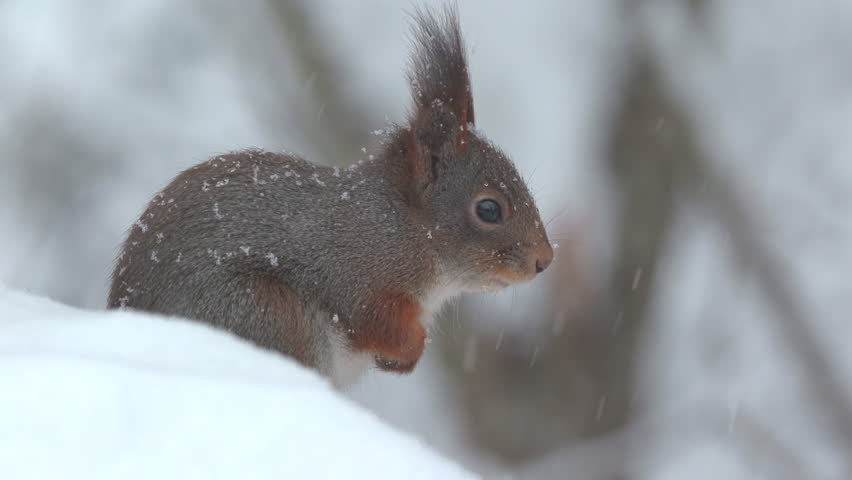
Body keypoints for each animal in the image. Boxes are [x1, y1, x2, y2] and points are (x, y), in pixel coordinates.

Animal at [107, 5, 553, 388]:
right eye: (489, 209)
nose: (544, 261)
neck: (404, 227)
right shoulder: (354, 271)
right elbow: (372, 318)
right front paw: (411, 348)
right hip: (265, 312)